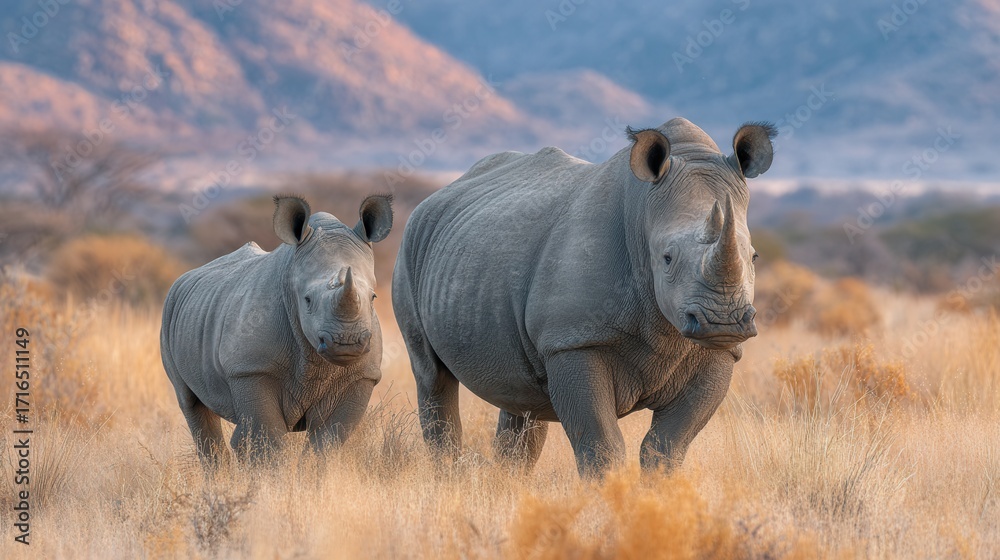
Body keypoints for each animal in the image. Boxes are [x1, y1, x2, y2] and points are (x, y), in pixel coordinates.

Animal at [161, 194, 393, 462]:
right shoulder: (251, 369)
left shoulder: (361, 376)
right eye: (307, 300)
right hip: (169, 311)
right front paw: (270, 474)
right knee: (191, 404)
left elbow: (326, 442)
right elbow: (268, 438)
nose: (347, 341)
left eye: (373, 297)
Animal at [393, 118, 774, 476]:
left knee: (520, 398)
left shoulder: (719, 353)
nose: (722, 321)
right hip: (411, 244)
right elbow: (601, 443)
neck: (643, 213)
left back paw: (507, 482)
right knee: (432, 376)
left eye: (754, 257)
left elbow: (667, 445)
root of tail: (440, 192)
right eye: (667, 258)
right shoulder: (573, 341)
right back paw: (448, 473)